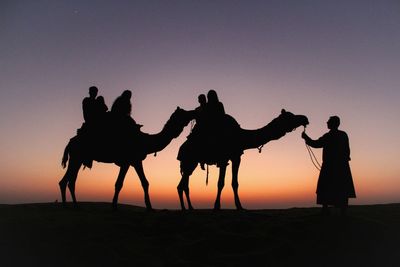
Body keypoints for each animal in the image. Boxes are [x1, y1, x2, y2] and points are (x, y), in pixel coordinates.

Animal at [59, 108, 195, 210]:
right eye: (184, 113)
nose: (193, 111)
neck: (145, 141)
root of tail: (70, 142)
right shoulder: (127, 161)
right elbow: (119, 183)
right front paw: (114, 206)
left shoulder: (136, 161)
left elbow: (145, 182)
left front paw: (150, 207)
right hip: (76, 157)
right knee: (67, 180)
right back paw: (67, 206)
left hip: (78, 158)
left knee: (70, 181)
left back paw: (74, 205)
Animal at [177, 109, 308, 211]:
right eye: (290, 116)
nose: (304, 118)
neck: (240, 137)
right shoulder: (224, 159)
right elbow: (220, 183)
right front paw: (217, 206)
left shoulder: (236, 157)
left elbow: (235, 183)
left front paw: (239, 206)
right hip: (189, 160)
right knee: (182, 185)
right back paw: (185, 208)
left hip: (191, 163)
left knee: (184, 184)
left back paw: (190, 208)